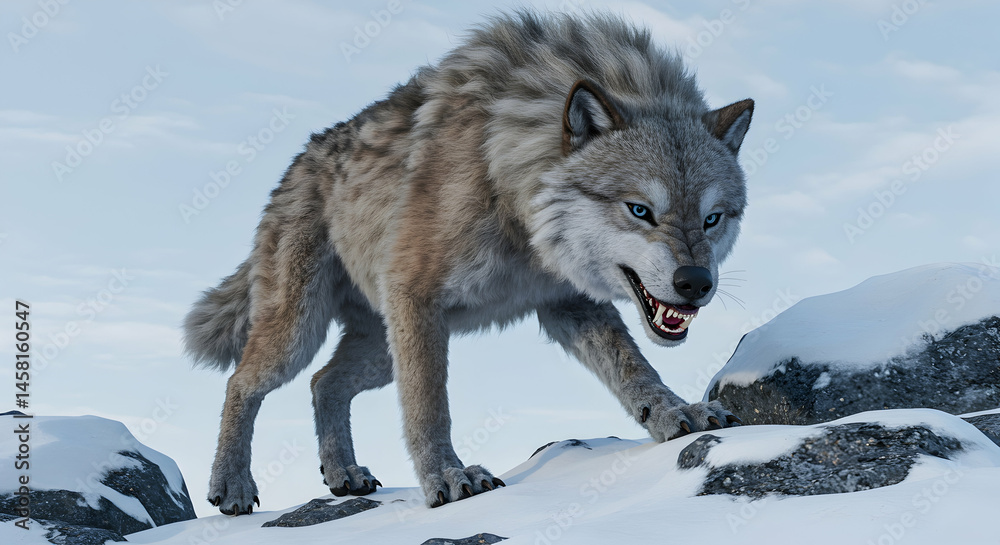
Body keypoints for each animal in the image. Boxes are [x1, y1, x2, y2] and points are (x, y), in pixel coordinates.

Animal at [184, 10, 753, 515]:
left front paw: (675, 411)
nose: (695, 283)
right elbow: (429, 407)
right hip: (305, 333)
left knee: (324, 383)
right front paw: (447, 477)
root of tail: (297, 163)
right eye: (640, 210)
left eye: (712, 219)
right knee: (242, 383)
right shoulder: (415, 294)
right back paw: (231, 486)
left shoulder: (568, 303)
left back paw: (344, 474)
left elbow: (634, 368)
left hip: (380, 348)